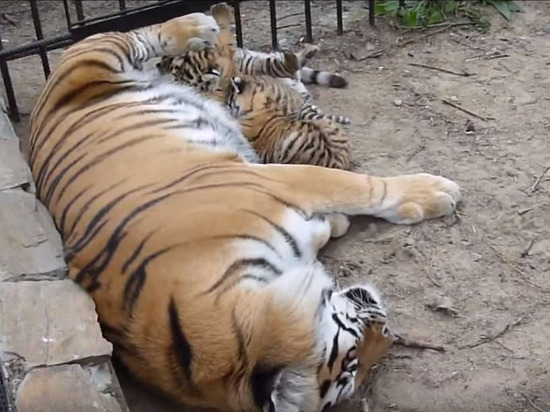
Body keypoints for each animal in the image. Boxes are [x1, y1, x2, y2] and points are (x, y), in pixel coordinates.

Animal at [29, 6, 462, 412]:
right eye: (353, 362)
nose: (386, 325)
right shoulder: (277, 181)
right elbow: (353, 190)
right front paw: (432, 193)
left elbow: (354, 188)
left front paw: (432, 190)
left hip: (95, 59)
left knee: (142, 35)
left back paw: (202, 27)